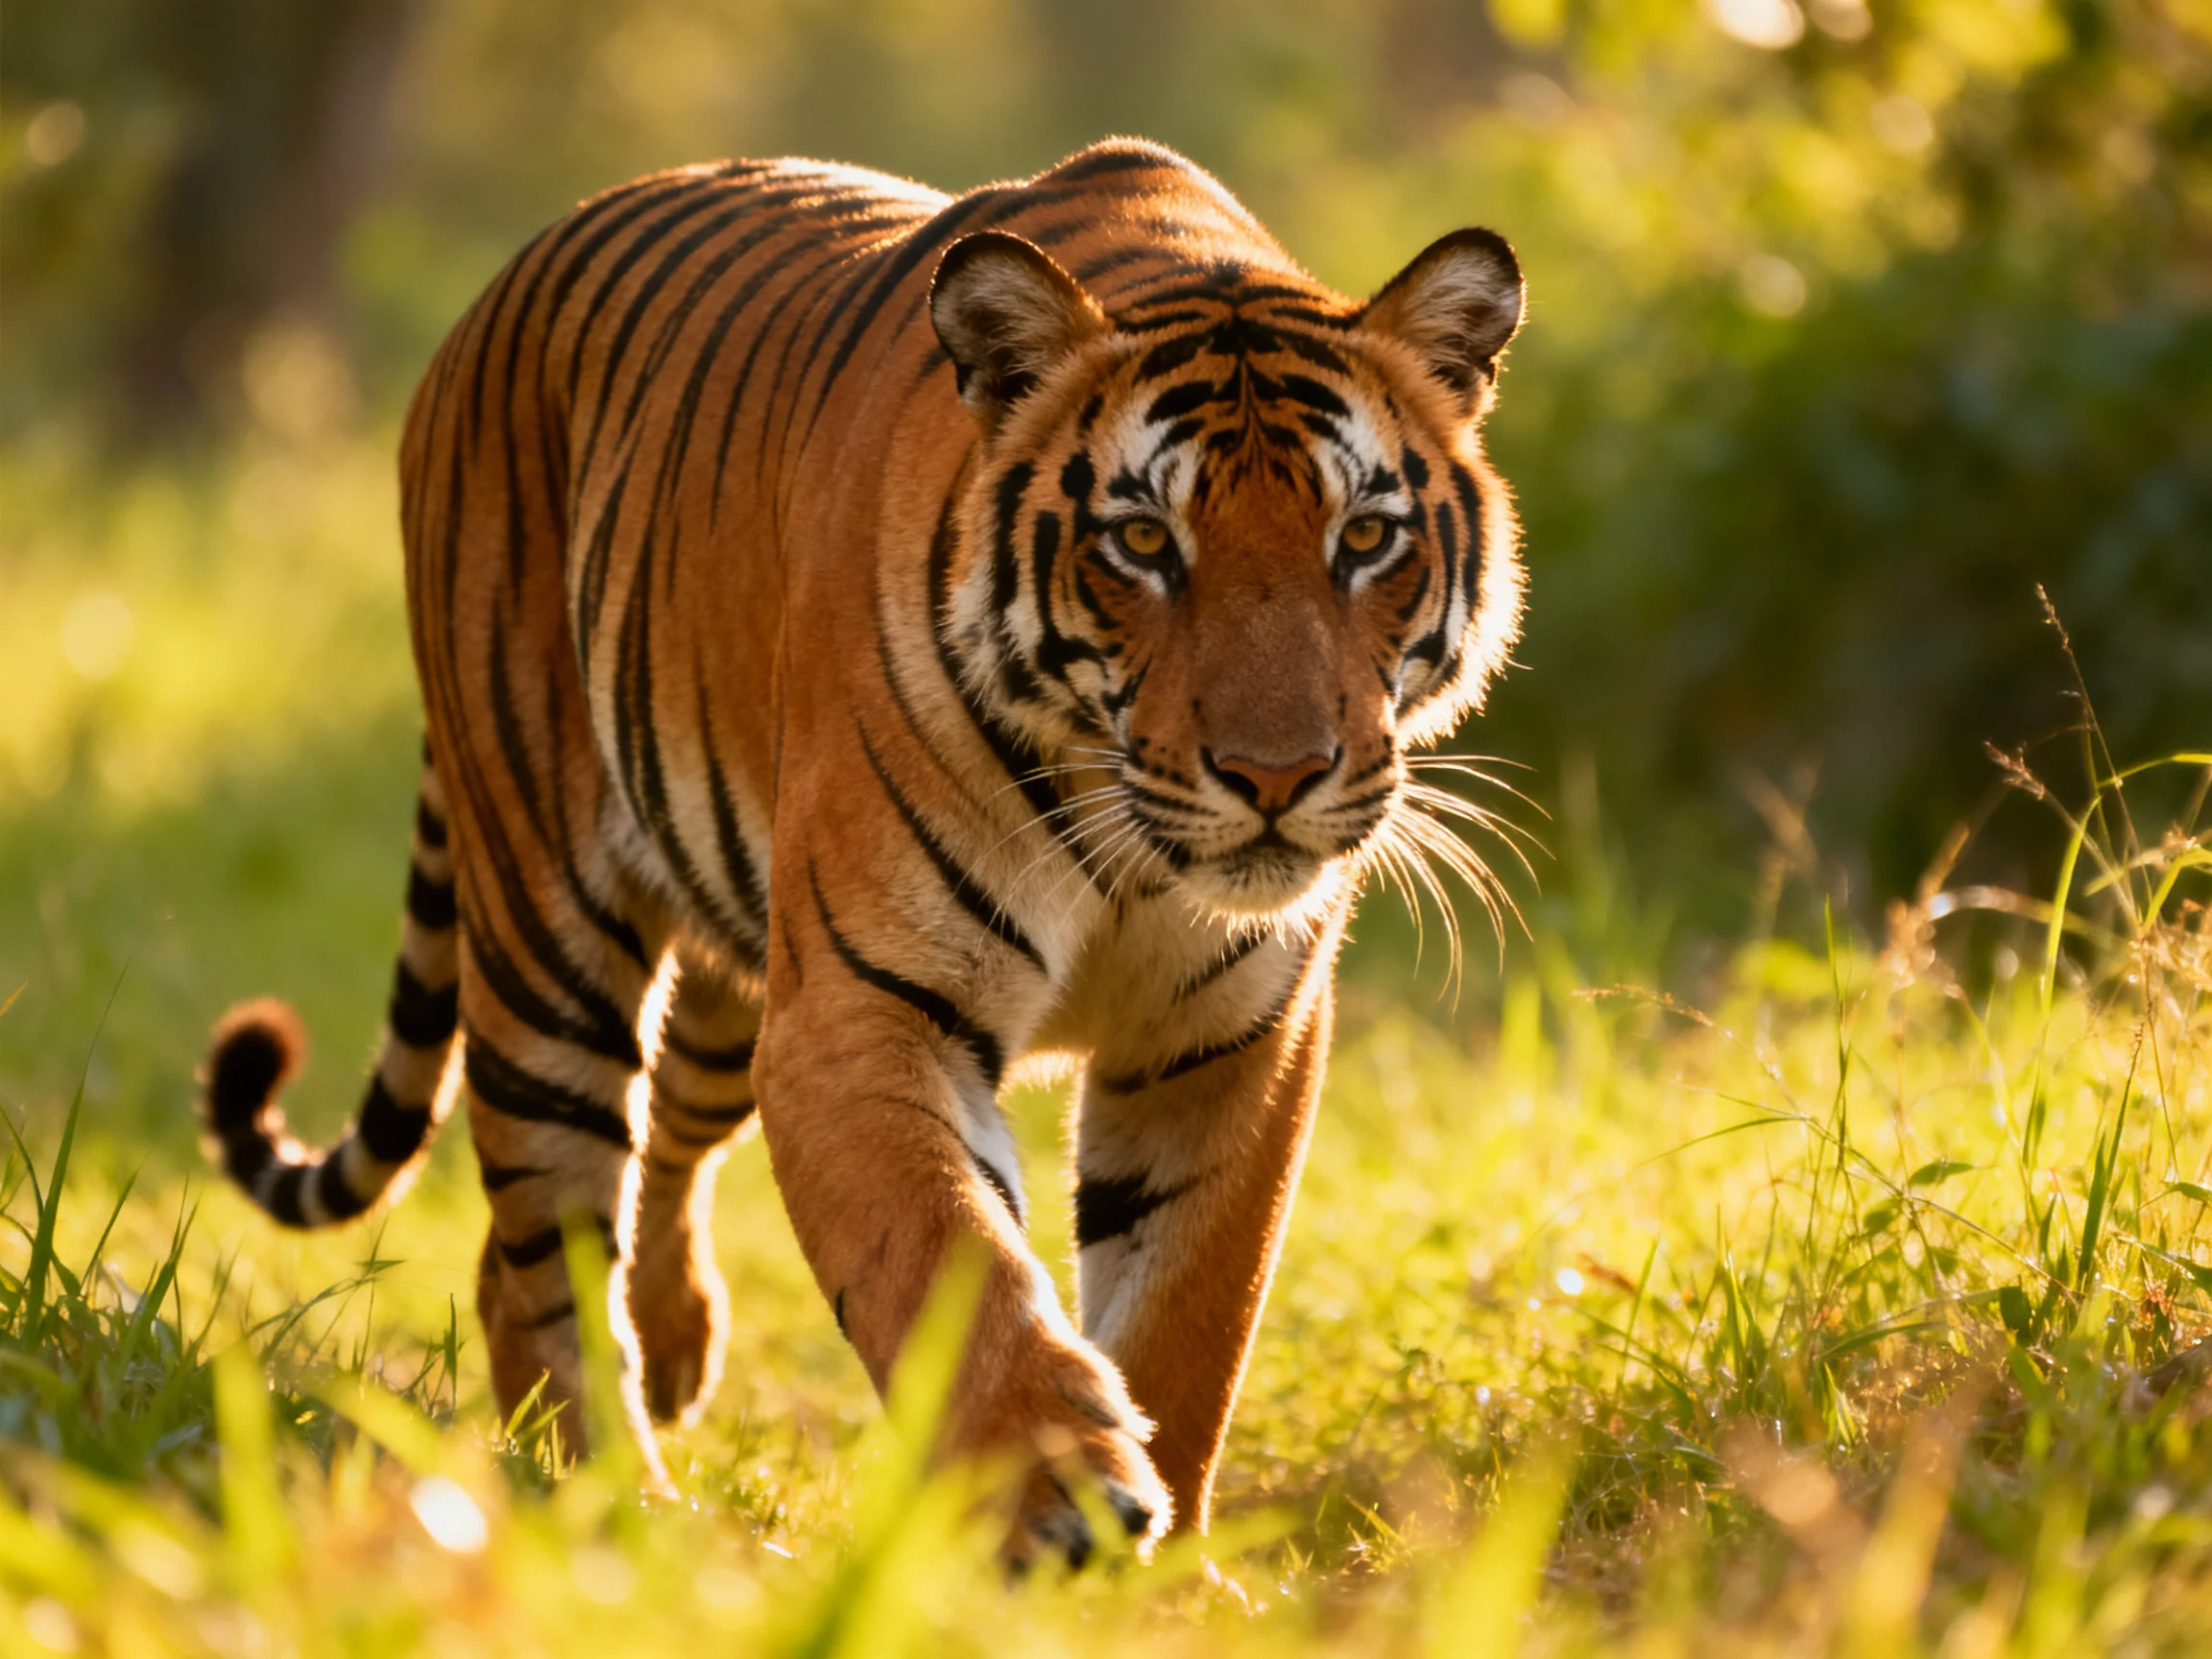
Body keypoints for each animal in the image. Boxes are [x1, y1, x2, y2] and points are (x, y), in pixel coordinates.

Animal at [198, 137, 1526, 1568]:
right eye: (1142, 542)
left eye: (1366, 539)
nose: (1276, 777)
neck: (1128, 851)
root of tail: (493, 294)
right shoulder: (865, 1010)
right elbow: (950, 1255)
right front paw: (1057, 1495)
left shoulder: (1226, 1040)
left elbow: (1189, 1317)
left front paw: (1167, 1571)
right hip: (547, 936)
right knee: (548, 1229)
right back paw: (617, 1508)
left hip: (730, 973)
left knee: (637, 1163)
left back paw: (669, 1357)